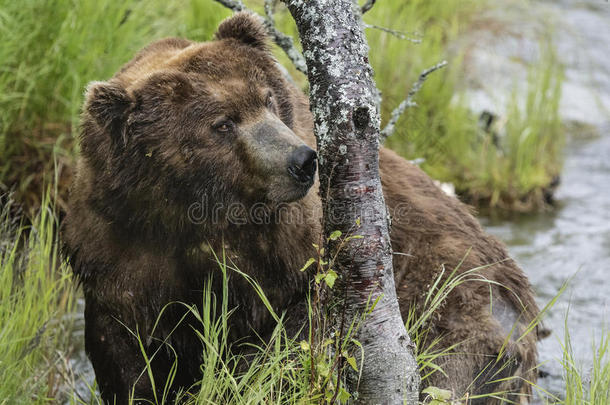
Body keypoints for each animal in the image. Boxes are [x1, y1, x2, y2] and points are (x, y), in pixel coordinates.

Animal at [61, 11, 536, 402]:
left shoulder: (289, 250)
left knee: (451, 365)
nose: (302, 160)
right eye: (222, 123)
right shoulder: (120, 247)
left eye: (268, 98)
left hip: (458, 297)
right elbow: (125, 353)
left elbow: (296, 334)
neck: (196, 218)